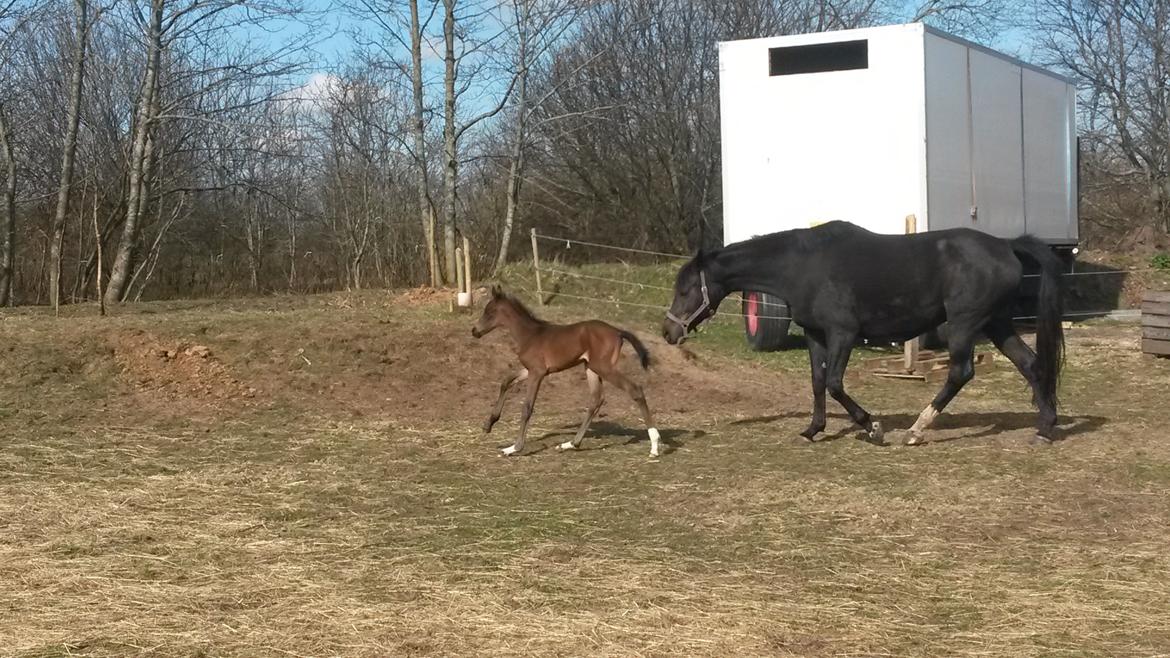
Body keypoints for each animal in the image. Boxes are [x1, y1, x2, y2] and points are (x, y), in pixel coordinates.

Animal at [470, 284, 664, 458]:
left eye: (489, 312)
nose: (474, 331)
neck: (530, 335)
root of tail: (617, 331)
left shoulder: (537, 373)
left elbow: (527, 407)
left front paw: (514, 448)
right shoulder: (530, 370)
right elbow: (506, 381)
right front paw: (489, 424)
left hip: (604, 367)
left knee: (634, 390)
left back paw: (654, 446)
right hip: (591, 368)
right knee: (596, 399)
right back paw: (570, 444)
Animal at [664, 218, 1067, 440]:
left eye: (685, 289)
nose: (668, 331)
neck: (801, 266)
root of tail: (1005, 245)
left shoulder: (843, 333)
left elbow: (834, 383)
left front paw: (871, 427)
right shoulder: (815, 335)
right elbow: (816, 382)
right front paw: (813, 429)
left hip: (965, 323)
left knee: (960, 372)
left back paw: (917, 430)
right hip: (997, 323)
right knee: (1031, 364)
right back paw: (1044, 428)